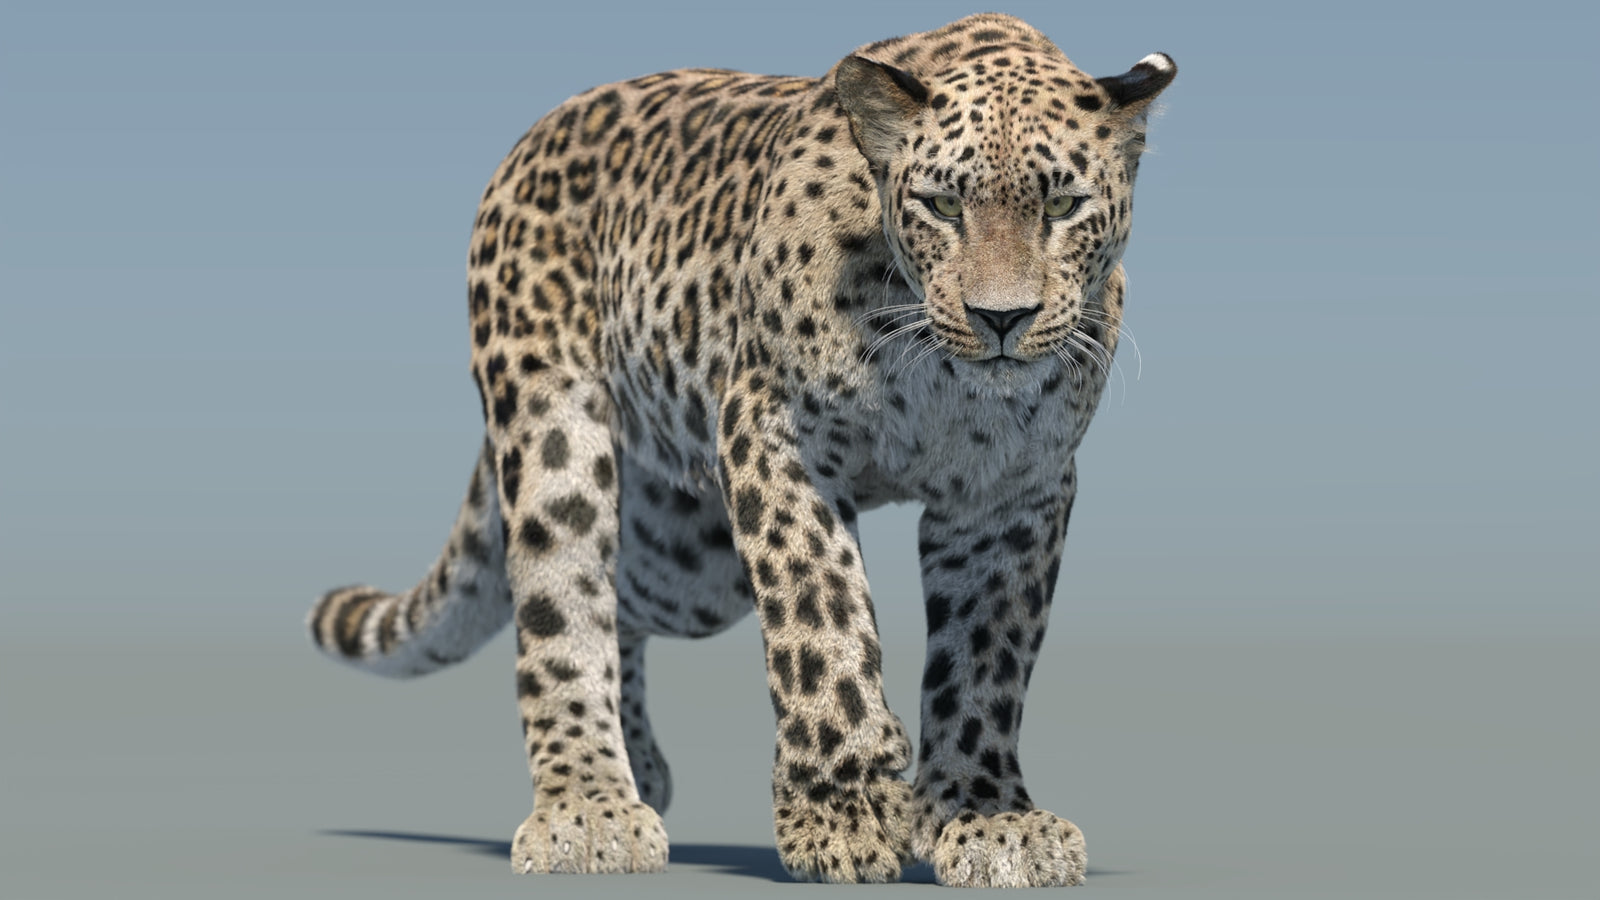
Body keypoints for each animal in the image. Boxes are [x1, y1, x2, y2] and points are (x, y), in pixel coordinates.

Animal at [308, 12, 1174, 887]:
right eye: (941, 206)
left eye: (1062, 205)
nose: (1002, 318)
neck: (937, 372)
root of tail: (533, 138)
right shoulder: (776, 433)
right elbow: (820, 616)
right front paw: (842, 810)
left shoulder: (1012, 490)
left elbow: (986, 657)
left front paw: (987, 816)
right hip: (557, 431)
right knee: (562, 604)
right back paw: (589, 807)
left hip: (688, 554)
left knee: (623, 604)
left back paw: (640, 768)